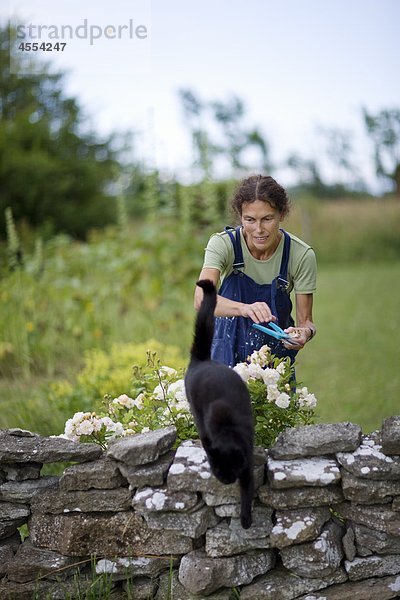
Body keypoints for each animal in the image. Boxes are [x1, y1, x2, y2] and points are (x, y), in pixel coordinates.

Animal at [184, 278, 253, 528]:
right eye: (217, 469)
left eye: (231, 468)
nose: (225, 480)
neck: (227, 431)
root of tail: (203, 361)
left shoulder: (247, 461)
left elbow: (247, 490)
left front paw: (245, 520)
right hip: (196, 410)